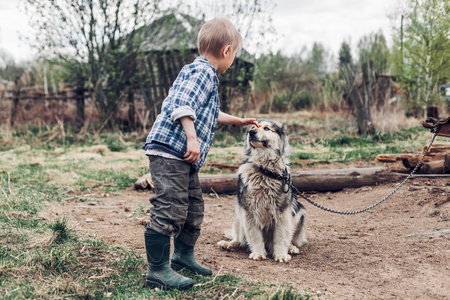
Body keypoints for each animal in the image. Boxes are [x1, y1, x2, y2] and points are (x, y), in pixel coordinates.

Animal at [217, 118, 306, 262]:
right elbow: (255, 236)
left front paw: (281, 254)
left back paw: (291, 248)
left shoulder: (282, 212)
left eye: (266, 128)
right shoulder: (248, 211)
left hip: (298, 213)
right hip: (238, 215)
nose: (251, 133)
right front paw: (258, 253)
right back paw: (229, 244)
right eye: (252, 127)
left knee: (289, 238)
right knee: (238, 238)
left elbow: (281, 236)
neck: (265, 171)